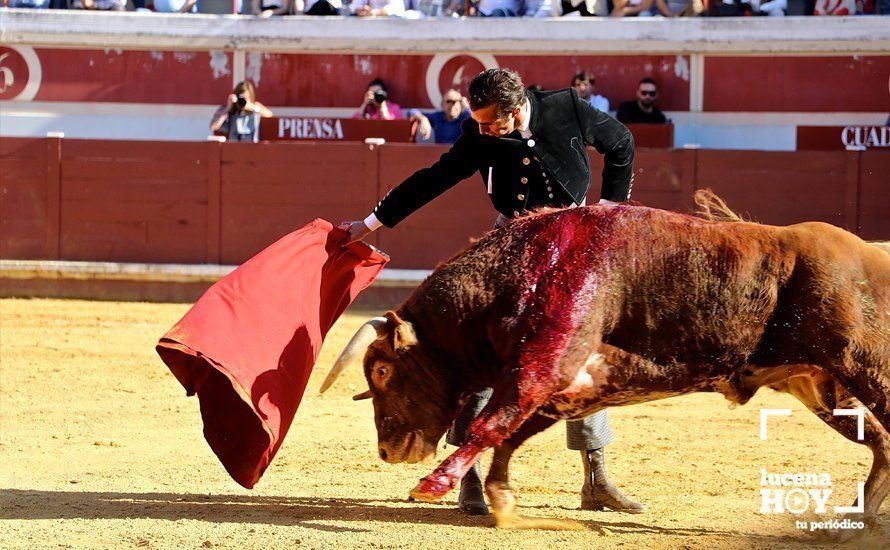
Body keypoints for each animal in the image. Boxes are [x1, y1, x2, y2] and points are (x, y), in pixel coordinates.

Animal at [320, 203, 888, 536]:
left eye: (383, 372)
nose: (387, 451)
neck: (523, 267)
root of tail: (871, 253)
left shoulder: (544, 366)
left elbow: (491, 424)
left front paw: (432, 485)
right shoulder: (573, 382)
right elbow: (508, 434)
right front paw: (502, 502)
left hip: (864, 367)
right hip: (821, 385)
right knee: (881, 442)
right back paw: (855, 518)